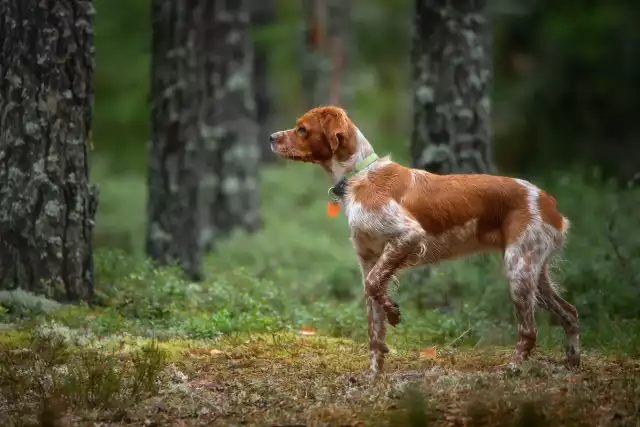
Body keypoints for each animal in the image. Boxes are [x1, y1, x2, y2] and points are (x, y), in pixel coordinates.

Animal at [268, 106, 580, 374]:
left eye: (302, 129)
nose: (271, 137)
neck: (360, 176)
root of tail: (548, 201)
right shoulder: (368, 259)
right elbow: (373, 320)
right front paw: (374, 371)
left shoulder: (408, 235)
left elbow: (375, 287)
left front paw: (394, 313)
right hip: (535, 272)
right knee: (571, 313)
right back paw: (572, 362)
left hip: (519, 269)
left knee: (529, 330)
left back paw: (514, 367)